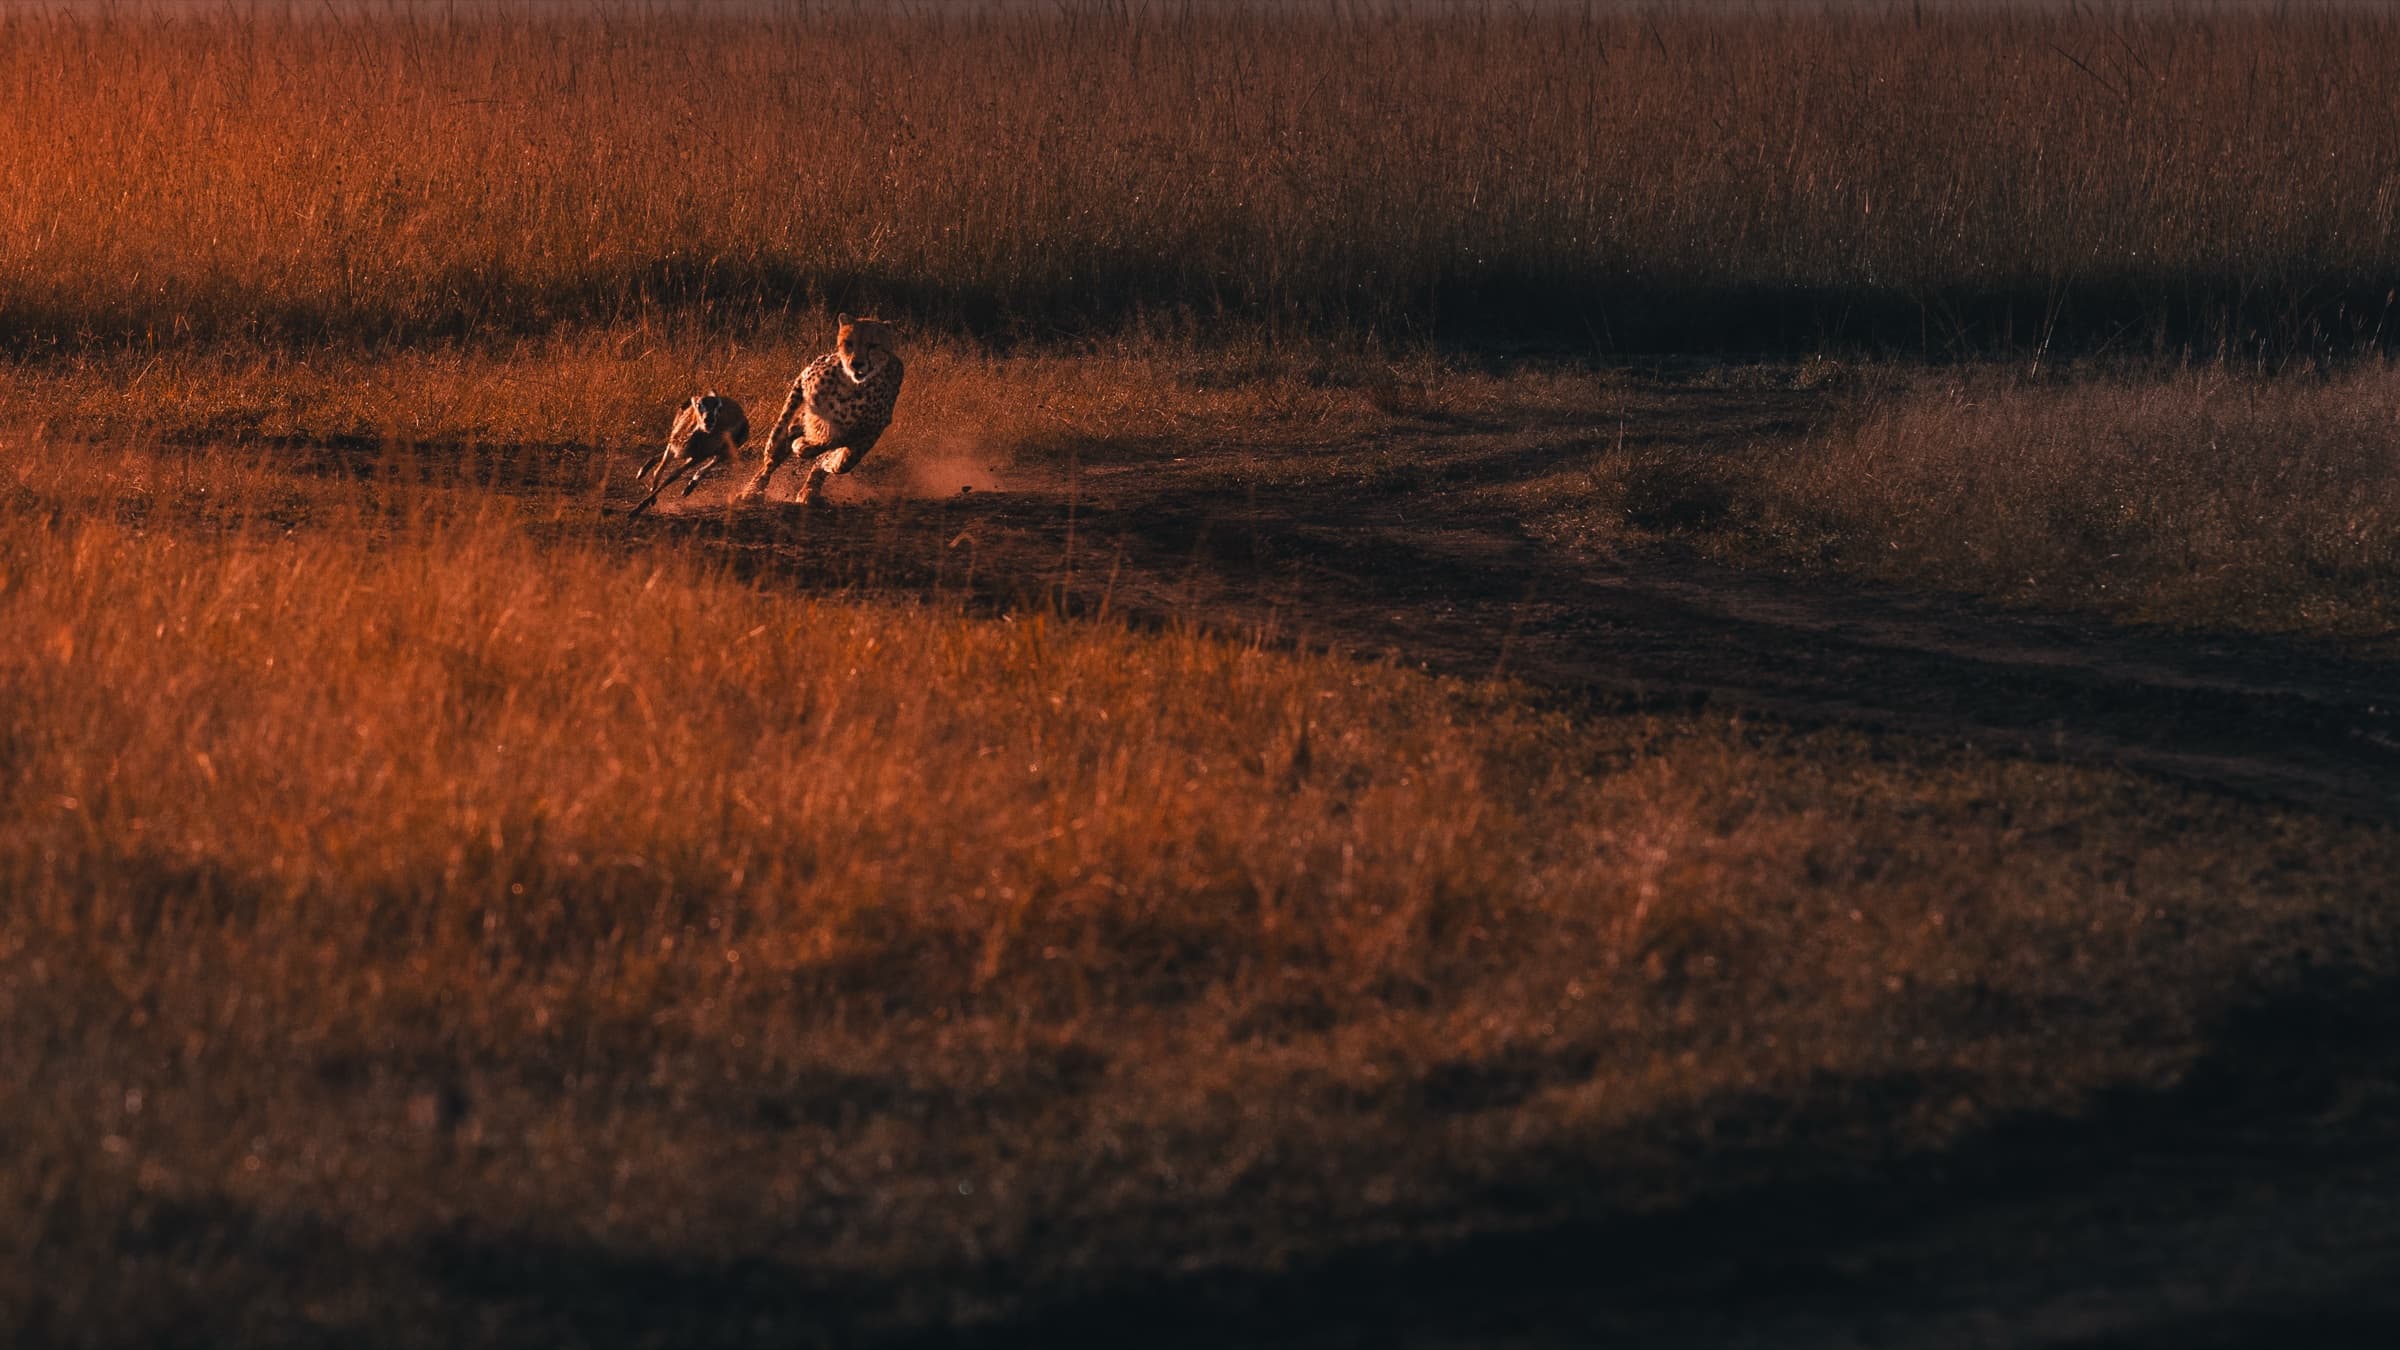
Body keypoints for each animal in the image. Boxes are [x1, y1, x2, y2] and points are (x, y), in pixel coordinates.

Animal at [740, 313, 905, 506]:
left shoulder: (869, 429)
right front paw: (780, 445)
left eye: (873, 345)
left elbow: (839, 455)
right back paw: (752, 490)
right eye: (849, 343)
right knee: (778, 451)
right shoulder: (804, 381)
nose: (856, 363)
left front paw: (820, 457)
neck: (853, 386)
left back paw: (810, 488)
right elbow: (787, 422)